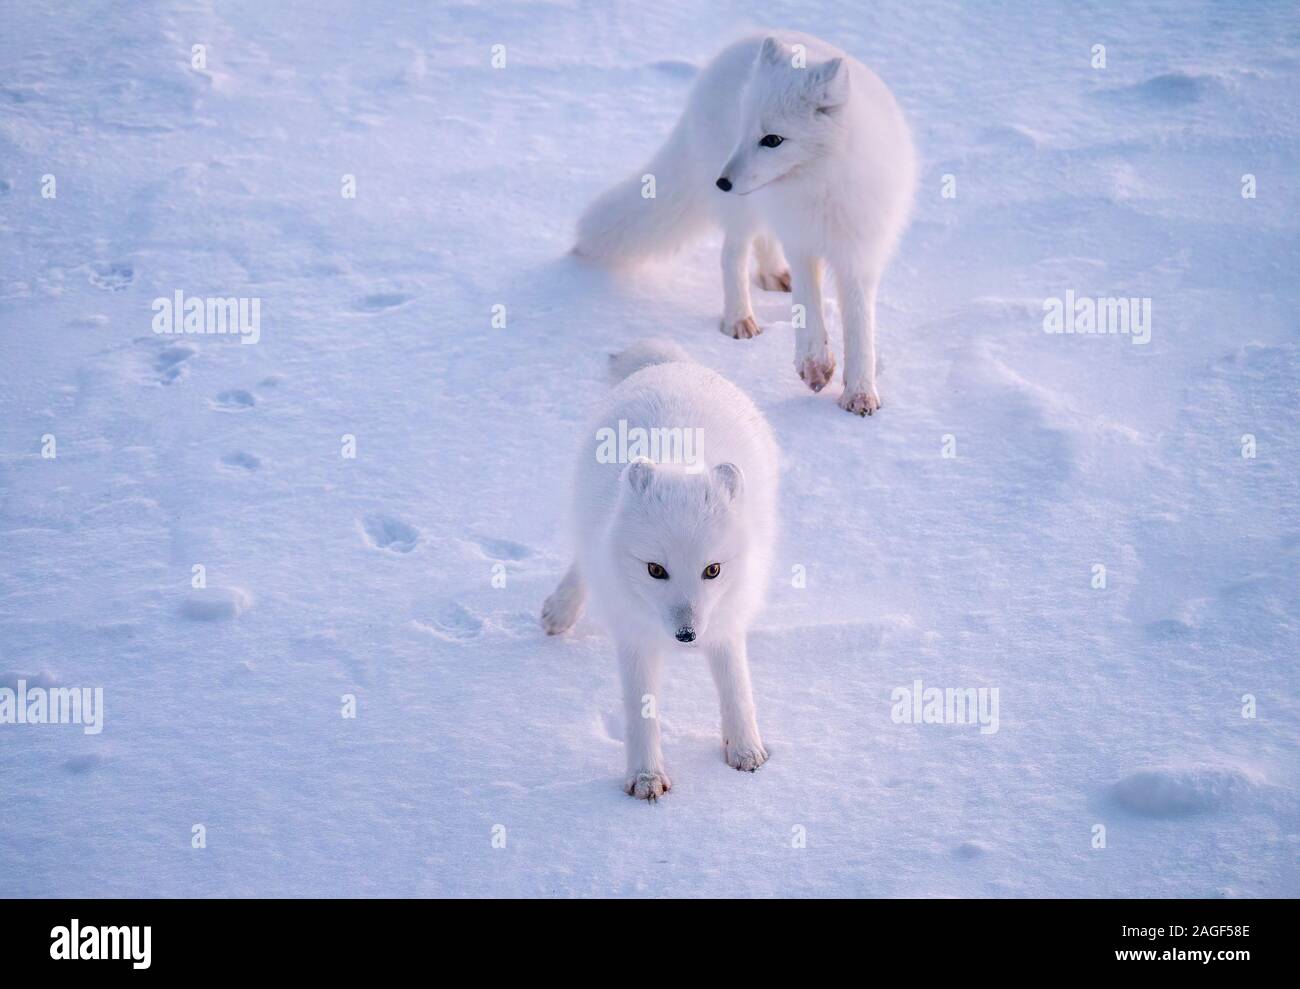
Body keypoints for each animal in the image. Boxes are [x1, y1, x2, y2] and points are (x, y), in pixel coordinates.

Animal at [538, 335, 769, 800]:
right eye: (655, 570)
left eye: (712, 570)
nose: (687, 636)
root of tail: (672, 365)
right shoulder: (633, 632)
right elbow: (640, 708)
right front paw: (646, 777)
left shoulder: (726, 616)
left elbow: (736, 687)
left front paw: (745, 750)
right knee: (585, 559)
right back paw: (561, 609)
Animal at [574, 32, 920, 415]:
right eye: (745, 131)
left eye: (772, 140)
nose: (721, 182)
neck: (821, 185)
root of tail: (734, 46)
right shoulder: (800, 240)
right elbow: (807, 305)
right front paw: (814, 363)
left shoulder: (860, 252)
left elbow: (860, 325)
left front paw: (860, 392)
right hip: (741, 208)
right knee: (732, 255)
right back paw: (739, 317)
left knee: (762, 240)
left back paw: (772, 276)